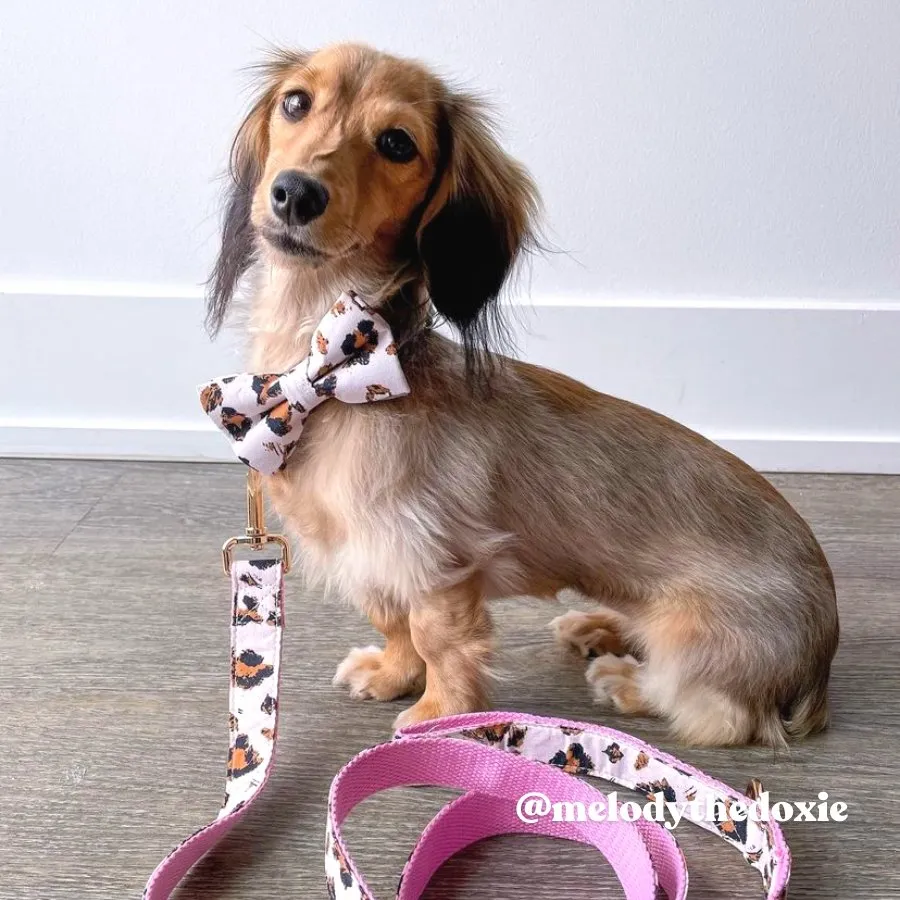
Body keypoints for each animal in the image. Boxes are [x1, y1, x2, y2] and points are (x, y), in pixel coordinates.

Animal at [207, 42, 840, 744]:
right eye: (295, 102)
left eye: (397, 143)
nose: (296, 193)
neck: (327, 377)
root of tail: (820, 656)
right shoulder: (373, 556)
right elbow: (393, 622)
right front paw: (392, 672)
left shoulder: (431, 558)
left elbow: (436, 638)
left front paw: (440, 716)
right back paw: (600, 626)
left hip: (695, 639)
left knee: (716, 712)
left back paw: (627, 679)